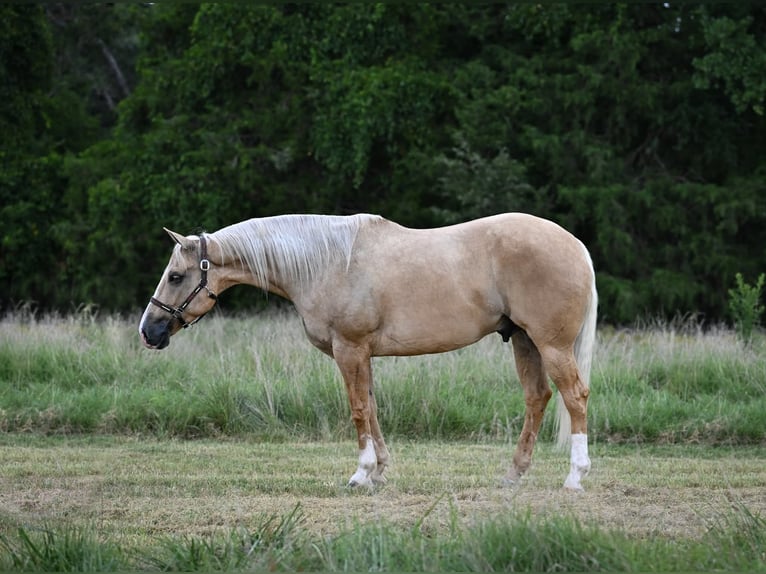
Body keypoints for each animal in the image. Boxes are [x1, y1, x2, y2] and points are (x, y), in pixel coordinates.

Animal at [139, 213, 597, 491]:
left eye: (176, 276)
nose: (149, 331)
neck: (327, 264)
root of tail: (575, 244)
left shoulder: (350, 350)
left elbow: (358, 409)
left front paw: (360, 474)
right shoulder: (364, 356)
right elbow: (373, 408)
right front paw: (380, 470)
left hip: (551, 345)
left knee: (575, 397)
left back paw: (575, 477)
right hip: (523, 340)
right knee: (538, 398)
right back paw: (514, 474)